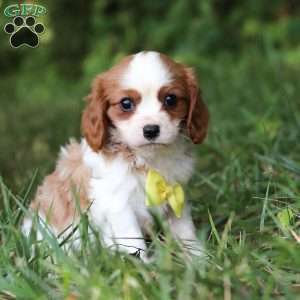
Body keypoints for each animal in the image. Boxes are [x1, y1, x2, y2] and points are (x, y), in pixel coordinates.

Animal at [22, 51, 209, 260]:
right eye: (126, 104)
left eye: (171, 99)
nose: (151, 130)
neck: (146, 159)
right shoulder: (118, 205)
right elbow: (133, 241)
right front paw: (144, 266)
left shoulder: (176, 195)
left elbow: (185, 231)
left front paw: (200, 259)